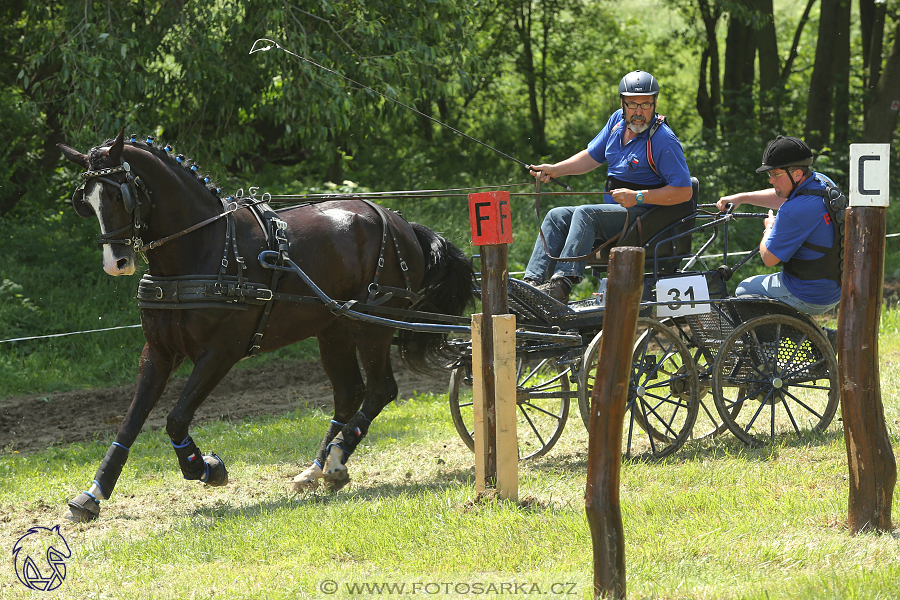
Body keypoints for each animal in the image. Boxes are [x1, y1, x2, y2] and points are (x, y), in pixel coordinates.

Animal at [57, 130, 474, 520]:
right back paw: (317, 469)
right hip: (335, 328)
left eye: (120, 196)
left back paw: (338, 457)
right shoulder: (158, 351)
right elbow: (130, 422)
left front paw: (205, 468)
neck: (203, 247)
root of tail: (402, 223)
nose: (116, 262)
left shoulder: (220, 353)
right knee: (349, 393)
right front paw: (92, 494)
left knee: (381, 390)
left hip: (375, 326)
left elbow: (175, 419)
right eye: (86, 200)